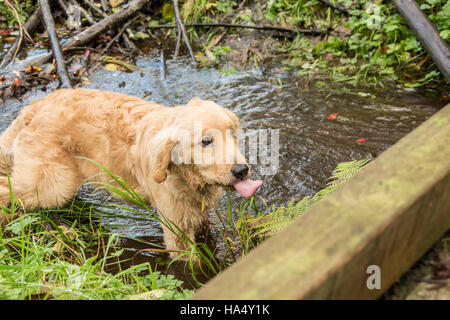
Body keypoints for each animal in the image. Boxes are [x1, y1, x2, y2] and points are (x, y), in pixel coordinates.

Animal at [0, 87, 262, 258]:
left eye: (232, 132)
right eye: (206, 141)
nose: (242, 170)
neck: (186, 176)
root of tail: (31, 109)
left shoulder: (198, 215)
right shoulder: (176, 229)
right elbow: (192, 264)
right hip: (53, 185)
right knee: (8, 189)